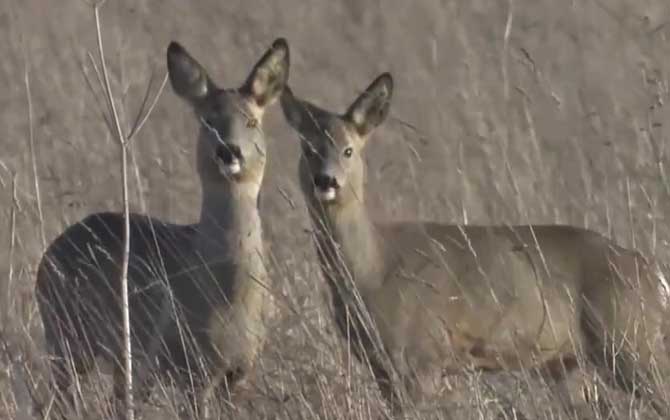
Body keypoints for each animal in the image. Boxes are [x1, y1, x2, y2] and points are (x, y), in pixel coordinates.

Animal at [35, 37, 290, 418]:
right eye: (208, 120)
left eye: (250, 120)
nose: (228, 151)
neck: (229, 294)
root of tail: (49, 253)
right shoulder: (191, 367)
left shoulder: (241, 371)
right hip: (66, 336)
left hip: (120, 357)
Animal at [280, 72, 670, 416]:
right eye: (308, 147)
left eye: (348, 150)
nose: (326, 180)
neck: (373, 266)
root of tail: (655, 275)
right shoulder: (383, 366)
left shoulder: (421, 356)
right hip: (568, 362)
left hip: (631, 342)